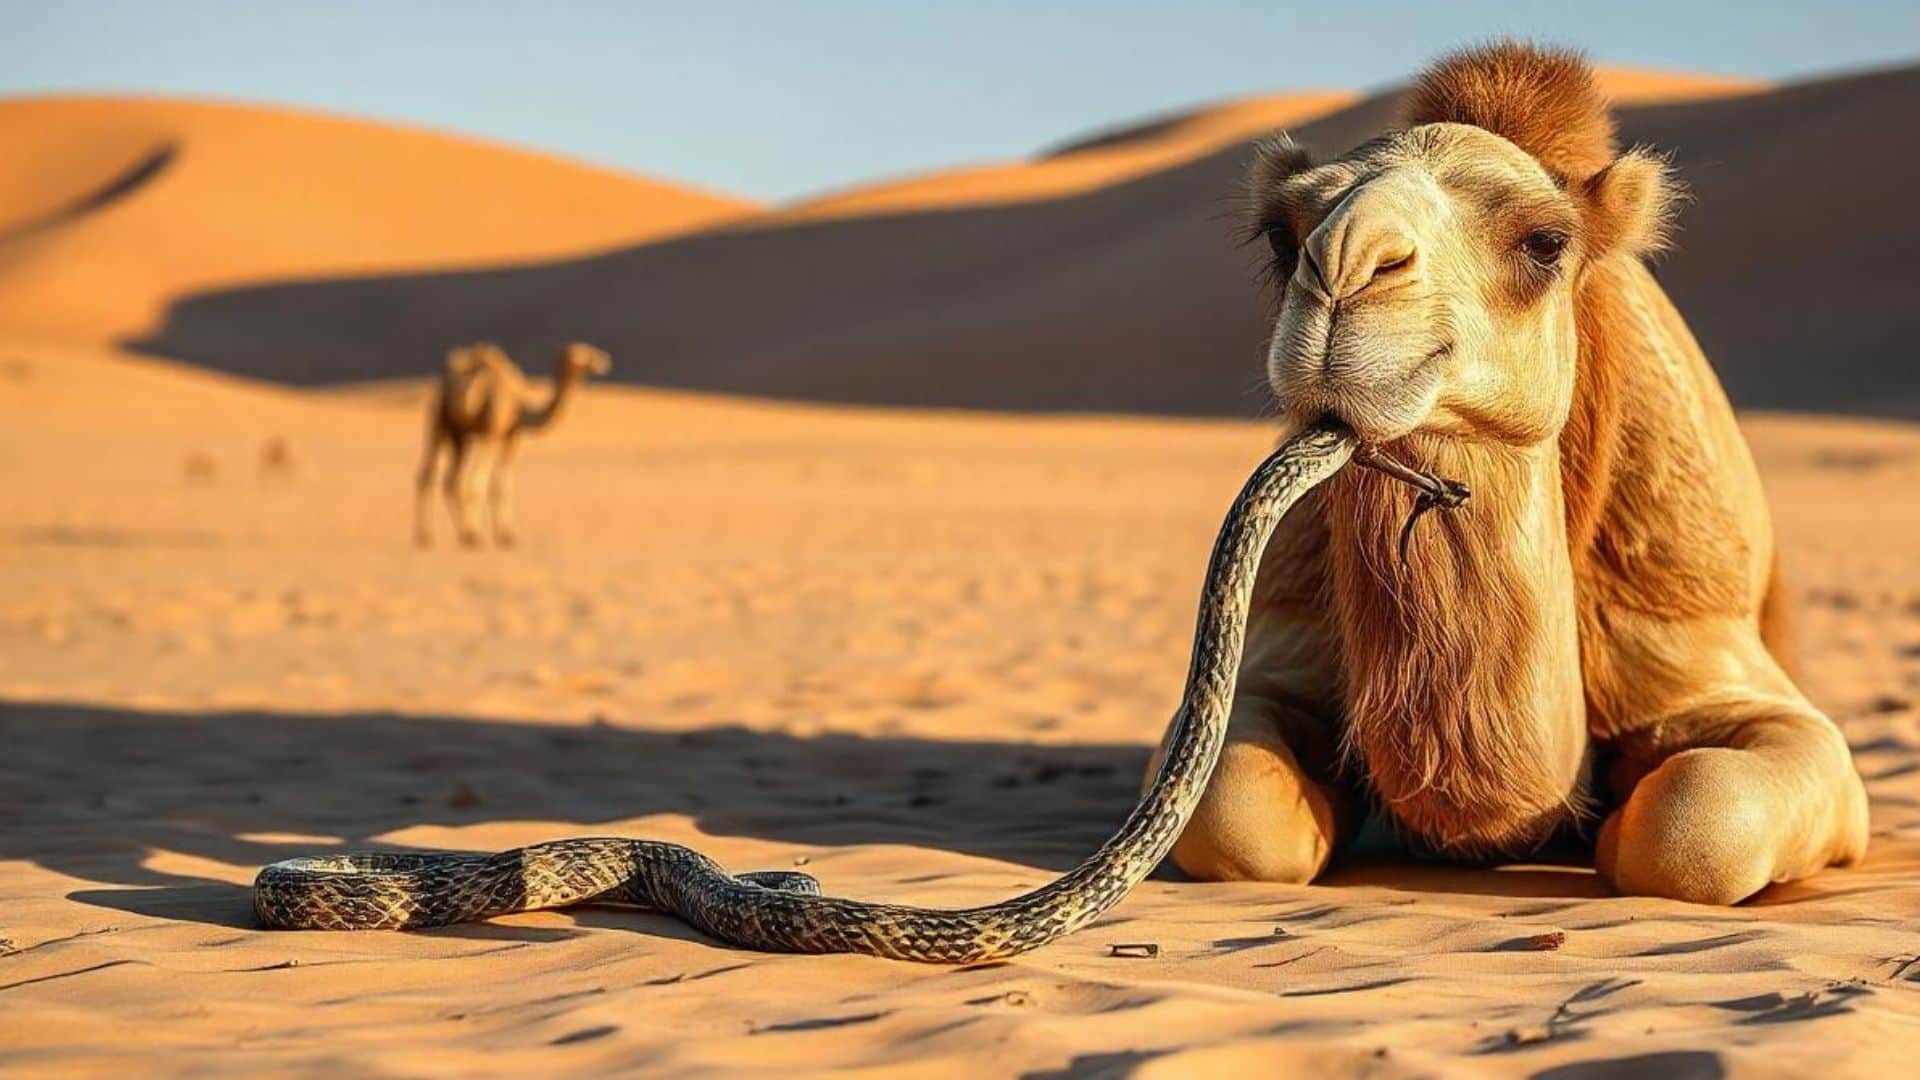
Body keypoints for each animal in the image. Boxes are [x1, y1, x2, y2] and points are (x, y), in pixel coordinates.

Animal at [414, 341, 610, 548]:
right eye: (583, 353)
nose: (604, 360)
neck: (522, 408)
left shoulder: (509, 437)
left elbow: (501, 485)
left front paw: (505, 535)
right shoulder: (506, 434)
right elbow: (494, 484)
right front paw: (503, 534)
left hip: (452, 430)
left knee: (438, 477)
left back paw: (430, 536)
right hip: (474, 431)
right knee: (470, 480)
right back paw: (470, 534)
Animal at [1151, 42, 1868, 904]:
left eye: (1546, 243)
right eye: (1280, 237)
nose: (1346, 266)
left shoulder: (1708, 655)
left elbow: (1696, 820)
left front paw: (1614, 825)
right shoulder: (1281, 640)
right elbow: (1231, 810)